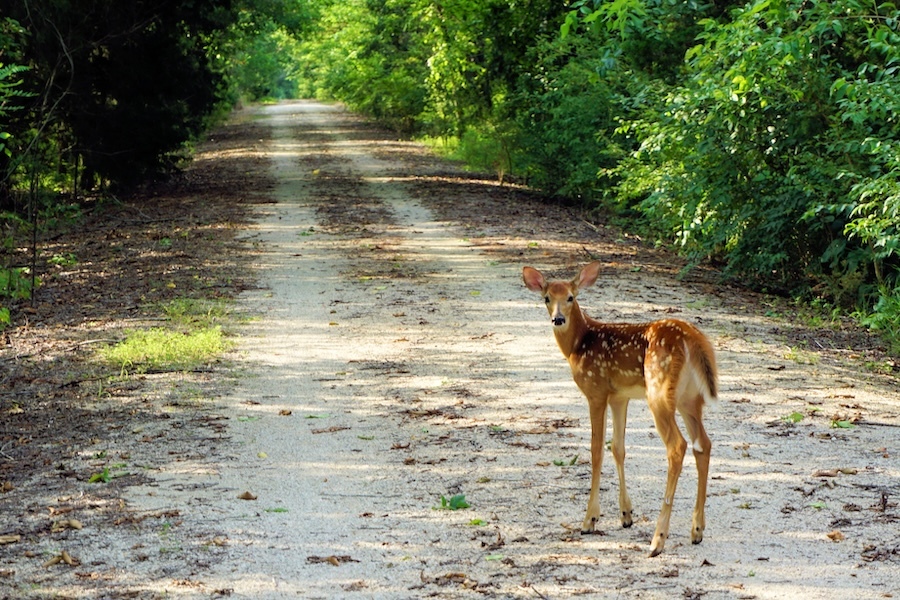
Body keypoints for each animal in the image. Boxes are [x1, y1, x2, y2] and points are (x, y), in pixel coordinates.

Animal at [522, 261, 717, 557]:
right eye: (546, 298)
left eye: (571, 297)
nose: (558, 320)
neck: (579, 344)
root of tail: (693, 341)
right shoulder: (619, 397)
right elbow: (618, 448)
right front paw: (626, 515)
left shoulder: (596, 391)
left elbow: (596, 450)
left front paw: (589, 519)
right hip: (690, 398)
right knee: (703, 444)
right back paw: (696, 531)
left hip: (659, 391)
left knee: (678, 445)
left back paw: (658, 540)